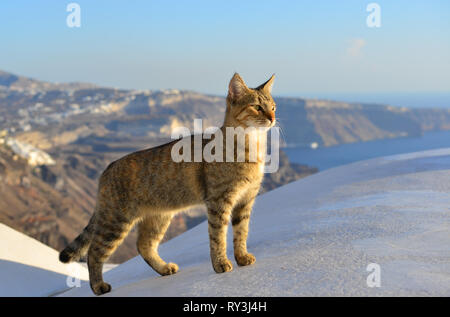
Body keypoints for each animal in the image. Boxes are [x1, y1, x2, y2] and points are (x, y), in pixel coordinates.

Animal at [58, 72, 276, 294]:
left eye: (273, 107)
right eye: (257, 107)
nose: (272, 118)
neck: (250, 147)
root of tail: (107, 169)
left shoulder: (246, 200)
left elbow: (241, 232)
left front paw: (242, 257)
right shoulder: (219, 201)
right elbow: (218, 236)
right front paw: (221, 264)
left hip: (158, 217)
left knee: (143, 245)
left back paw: (163, 268)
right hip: (116, 220)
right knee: (94, 251)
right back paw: (98, 286)